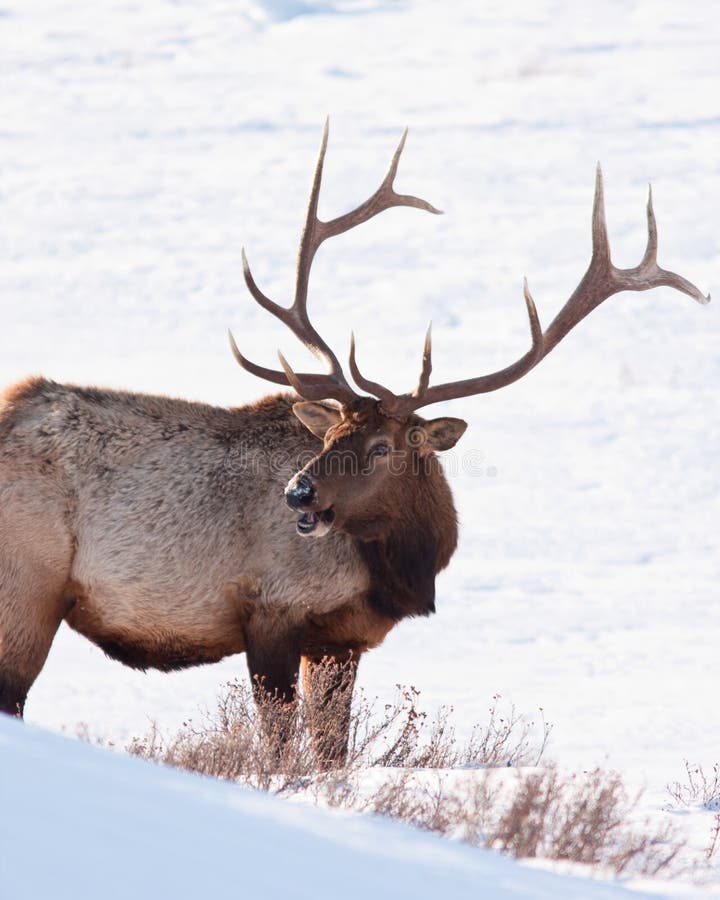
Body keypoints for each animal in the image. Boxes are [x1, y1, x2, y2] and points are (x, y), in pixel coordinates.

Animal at [0, 123, 708, 764]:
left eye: (383, 447)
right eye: (335, 433)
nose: (298, 492)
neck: (398, 569)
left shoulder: (342, 640)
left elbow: (330, 754)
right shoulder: (271, 609)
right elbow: (278, 750)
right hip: (26, 583)